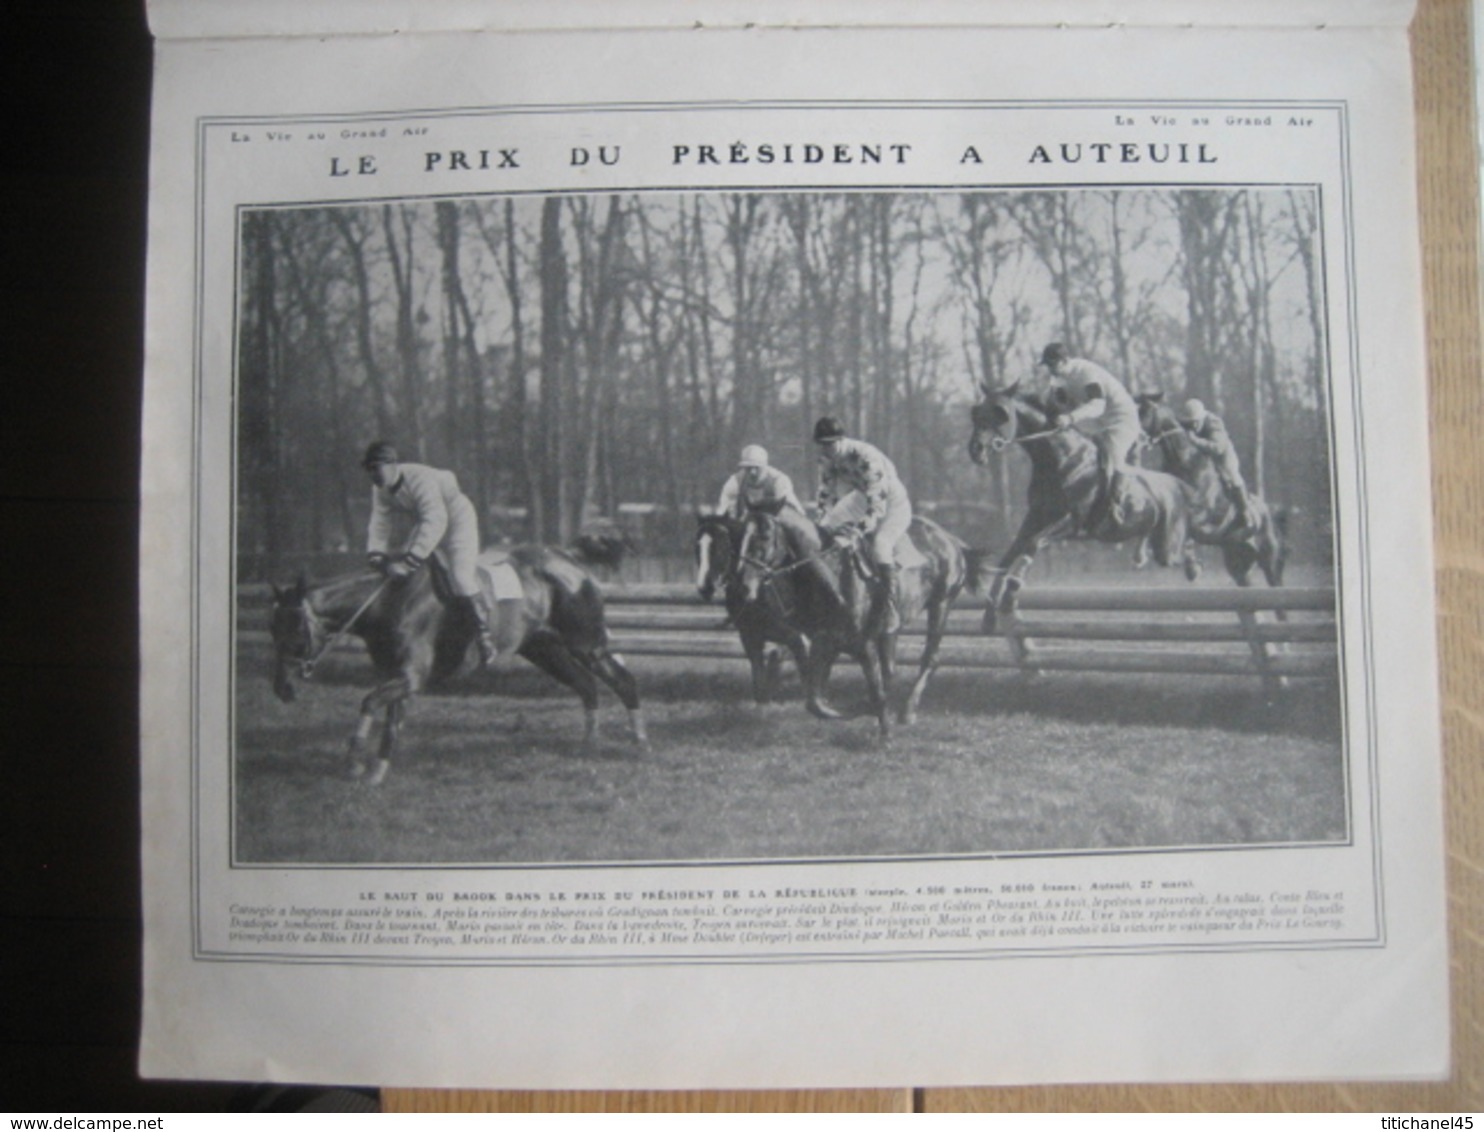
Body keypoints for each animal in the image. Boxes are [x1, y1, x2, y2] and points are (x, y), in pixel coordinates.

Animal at [273, 545, 649, 783]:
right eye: (273, 632)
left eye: (296, 633)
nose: (282, 688)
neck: (388, 602)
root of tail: (573, 562)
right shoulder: (398, 676)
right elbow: (391, 721)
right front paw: (376, 772)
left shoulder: (412, 676)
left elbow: (368, 701)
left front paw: (353, 762)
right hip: (544, 649)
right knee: (586, 685)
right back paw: (590, 742)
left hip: (587, 644)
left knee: (624, 681)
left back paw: (640, 741)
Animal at [694, 510, 813, 703]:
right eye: (697, 547)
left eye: (721, 546)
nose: (705, 587)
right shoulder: (749, 636)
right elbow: (759, 681)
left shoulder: (792, 634)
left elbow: (800, 659)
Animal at [730, 507, 973, 744]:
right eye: (740, 535)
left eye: (764, 537)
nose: (743, 586)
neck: (833, 576)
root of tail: (950, 539)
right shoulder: (824, 641)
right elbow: (814, 702)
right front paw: (855, 710)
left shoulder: (863, 645)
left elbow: (875, 692)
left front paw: (884, 733)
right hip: (891, 631)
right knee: (891, 670)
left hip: (941, 604)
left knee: (930, 659)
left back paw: (907, 711)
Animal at [967, 378, 1199, 629]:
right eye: (976, 412)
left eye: (1001, 413)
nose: (975, 450)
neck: (1061, 459)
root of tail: (1179, 485)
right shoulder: (1036, 517)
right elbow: (1011, 554)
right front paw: (990, 614)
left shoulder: (1073, 522)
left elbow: (1032, 544)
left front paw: (1010, 598)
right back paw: (1142, 557)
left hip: (1167, 545)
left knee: (1180, 552)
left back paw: (1193, 567)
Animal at [1133, 391, 1288, 593]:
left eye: (1145, 412)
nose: (1132, 443)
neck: (1185, 462)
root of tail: (1271, 514)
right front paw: (1142, 557)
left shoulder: (1200, 514)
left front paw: (1190, 566)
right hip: (1238, 564)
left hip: (1270, 563)